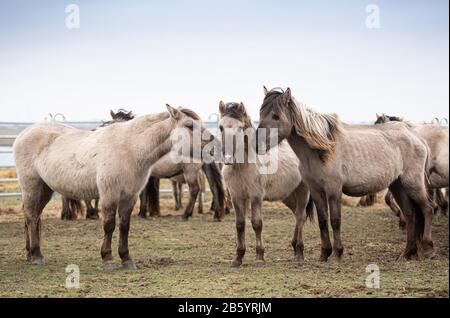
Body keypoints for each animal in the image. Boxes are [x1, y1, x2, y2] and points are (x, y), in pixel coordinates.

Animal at [14, 105, 204, 270]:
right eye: (189, 125)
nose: (208, 144)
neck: (130, 148)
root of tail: (23, 134)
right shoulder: (109, 195)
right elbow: (109, 225)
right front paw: (108, 259)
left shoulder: (130, 196)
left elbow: (125, 226)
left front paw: (127, 259)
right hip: (32, 186)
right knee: (31, 216)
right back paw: (36, 255)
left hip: (44, 189)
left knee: (33, 216)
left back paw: (30, 254)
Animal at [219, 101, 312, 266]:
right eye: (220, 127)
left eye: (240, 128)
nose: (228, 158)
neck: (242, 166)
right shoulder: (236, 197)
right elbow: (240, 225)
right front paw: (238, 258)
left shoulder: (256, 197)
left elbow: (257, 224)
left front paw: (259, 257)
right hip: (288, 195)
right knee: (296, 215)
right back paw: (294, 247)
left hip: (303, 191)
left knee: (301, 217)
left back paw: (299, 253)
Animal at [258, 86, 434, 260]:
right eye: (261, 114)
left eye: (276, 116)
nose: (257, 143)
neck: (322, 149)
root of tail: (416, 137)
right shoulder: (316, 191)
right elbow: (323, 221)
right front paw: (324, 253)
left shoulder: (334, 190)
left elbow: (335, 221)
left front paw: (336, 254)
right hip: (398, 186)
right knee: (410, 214)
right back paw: (407, 253)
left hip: (413, 184)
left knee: (427, 209)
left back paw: (427, 249)